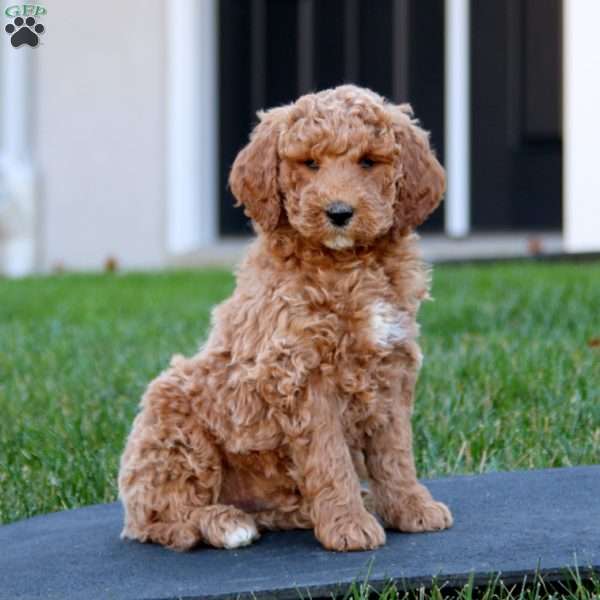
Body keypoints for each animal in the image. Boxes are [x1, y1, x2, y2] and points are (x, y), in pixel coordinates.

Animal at [119, 85, 452, 552]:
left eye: (368, 161)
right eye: (310, 163)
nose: (339, 212)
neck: (347, 267)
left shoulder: (392, 366)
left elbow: (395, 452)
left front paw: (411, 508)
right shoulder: (301, 376)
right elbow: (330, 458)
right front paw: (349, 526)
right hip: (173, 422)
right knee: (164, 518)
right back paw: (225, 522)